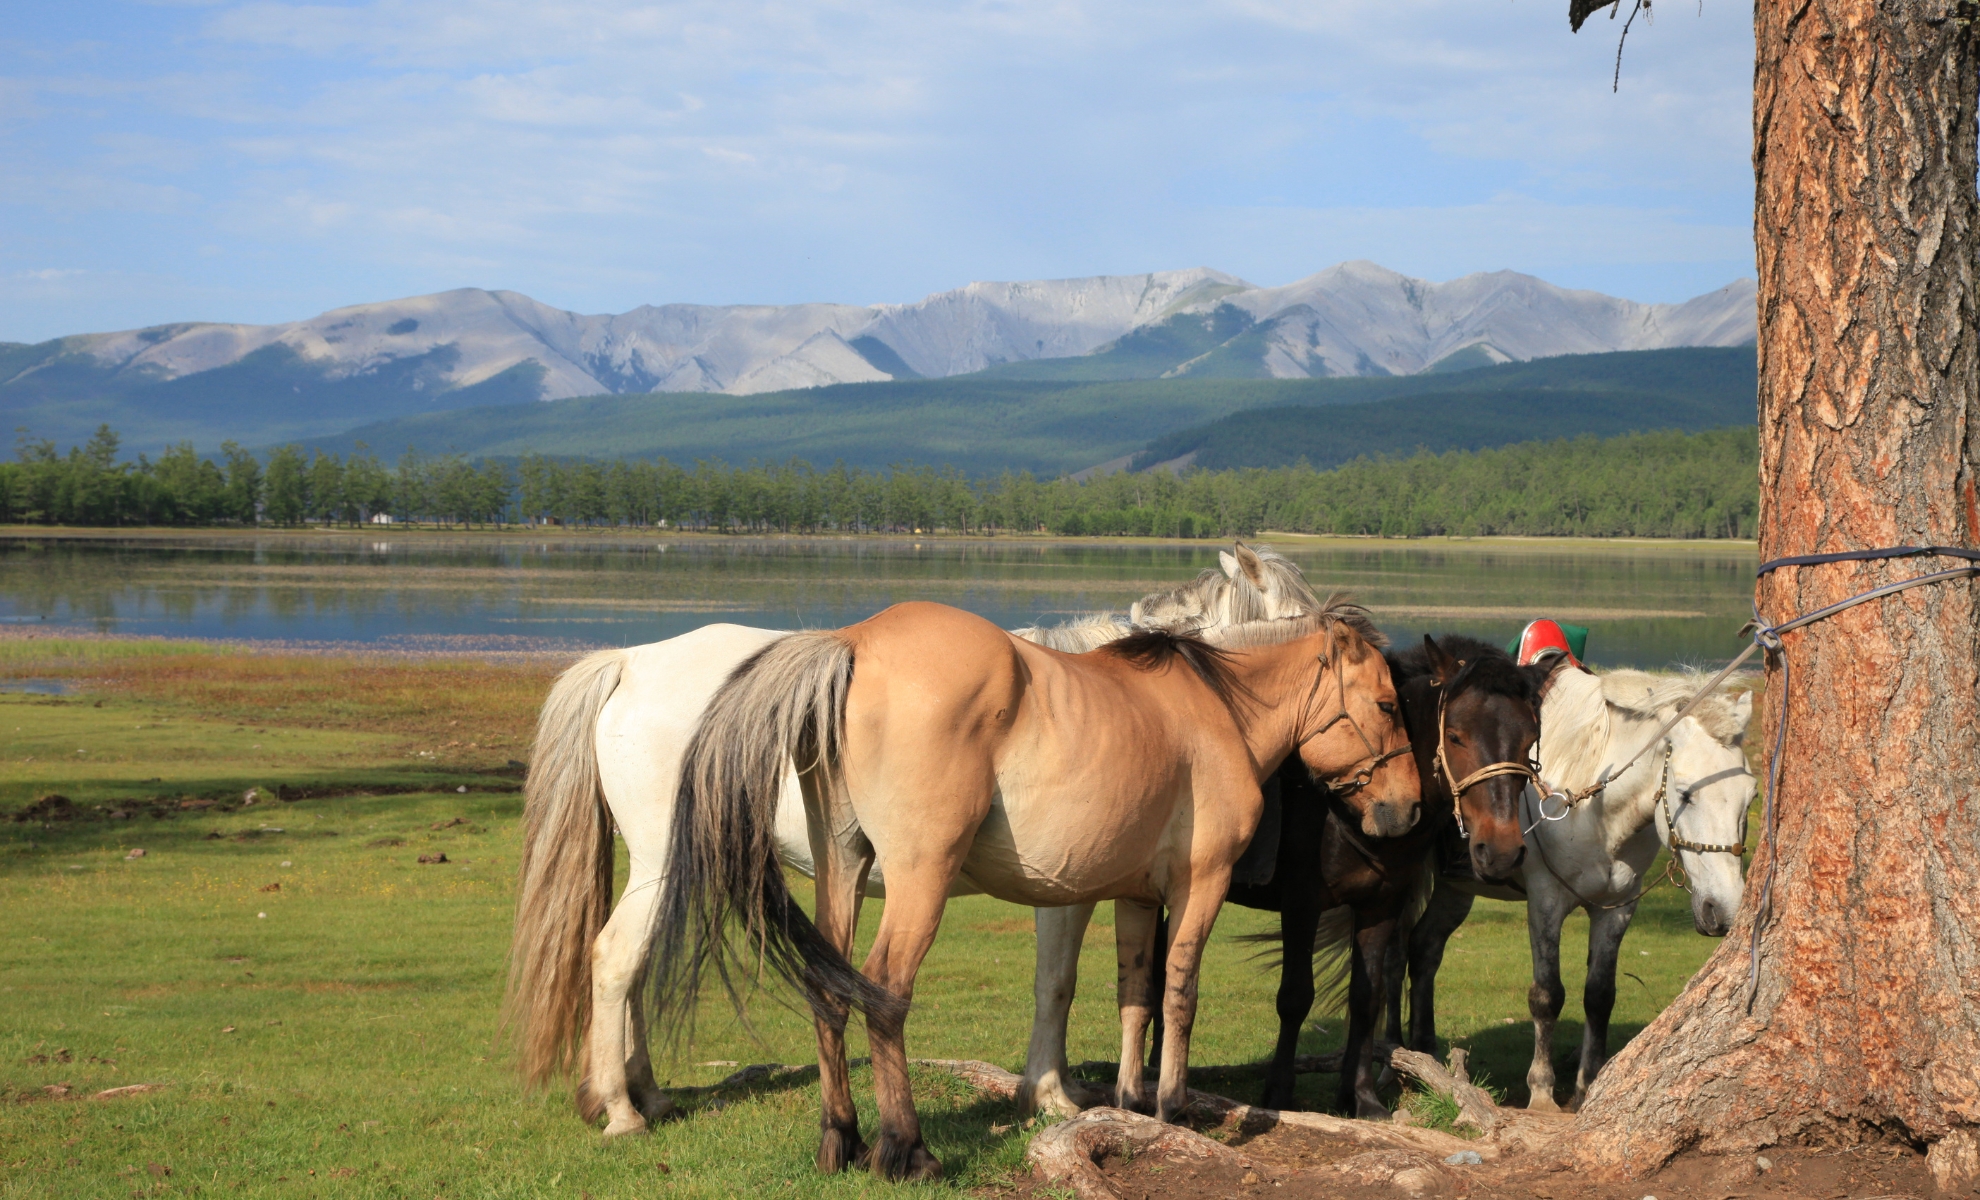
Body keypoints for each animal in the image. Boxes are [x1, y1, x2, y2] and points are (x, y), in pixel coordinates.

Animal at [502, 542, 1322, 1140]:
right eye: (1302, 616)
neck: (1127, 704)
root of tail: (630, 662)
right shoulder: (1066, 894)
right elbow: (1055, 984)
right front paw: (1050, 1094)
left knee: (634, 968)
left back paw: (647, 1093)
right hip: (665, 865)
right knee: (616, 960)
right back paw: (621, 1111)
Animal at [645, 601, 1409, 1188]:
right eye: (1387, 704)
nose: (1406, 810)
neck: (1214, 711)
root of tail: (854, 643)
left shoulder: (1136, 897)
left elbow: (1135, 997)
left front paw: (1128, 1106)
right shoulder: (1201, 885)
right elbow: (1179, 994)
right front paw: (1170, 1108)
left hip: (843, 868)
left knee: (828, 988)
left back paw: (843, 1140)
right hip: (919, 880)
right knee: (884, 991)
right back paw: (906, 1150)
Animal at [1386, 661, 1758, 1116]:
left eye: (1750, 796)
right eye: (1686, 793)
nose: (1723, 910)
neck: (1591, 805)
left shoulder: (1616, 908)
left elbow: (1599, 996)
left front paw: (1587, 1087)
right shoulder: (1546, 903)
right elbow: (1547, 995)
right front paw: (1543, 1092)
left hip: (1457, 889)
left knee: (1424, 948)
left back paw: (1425, 1051)